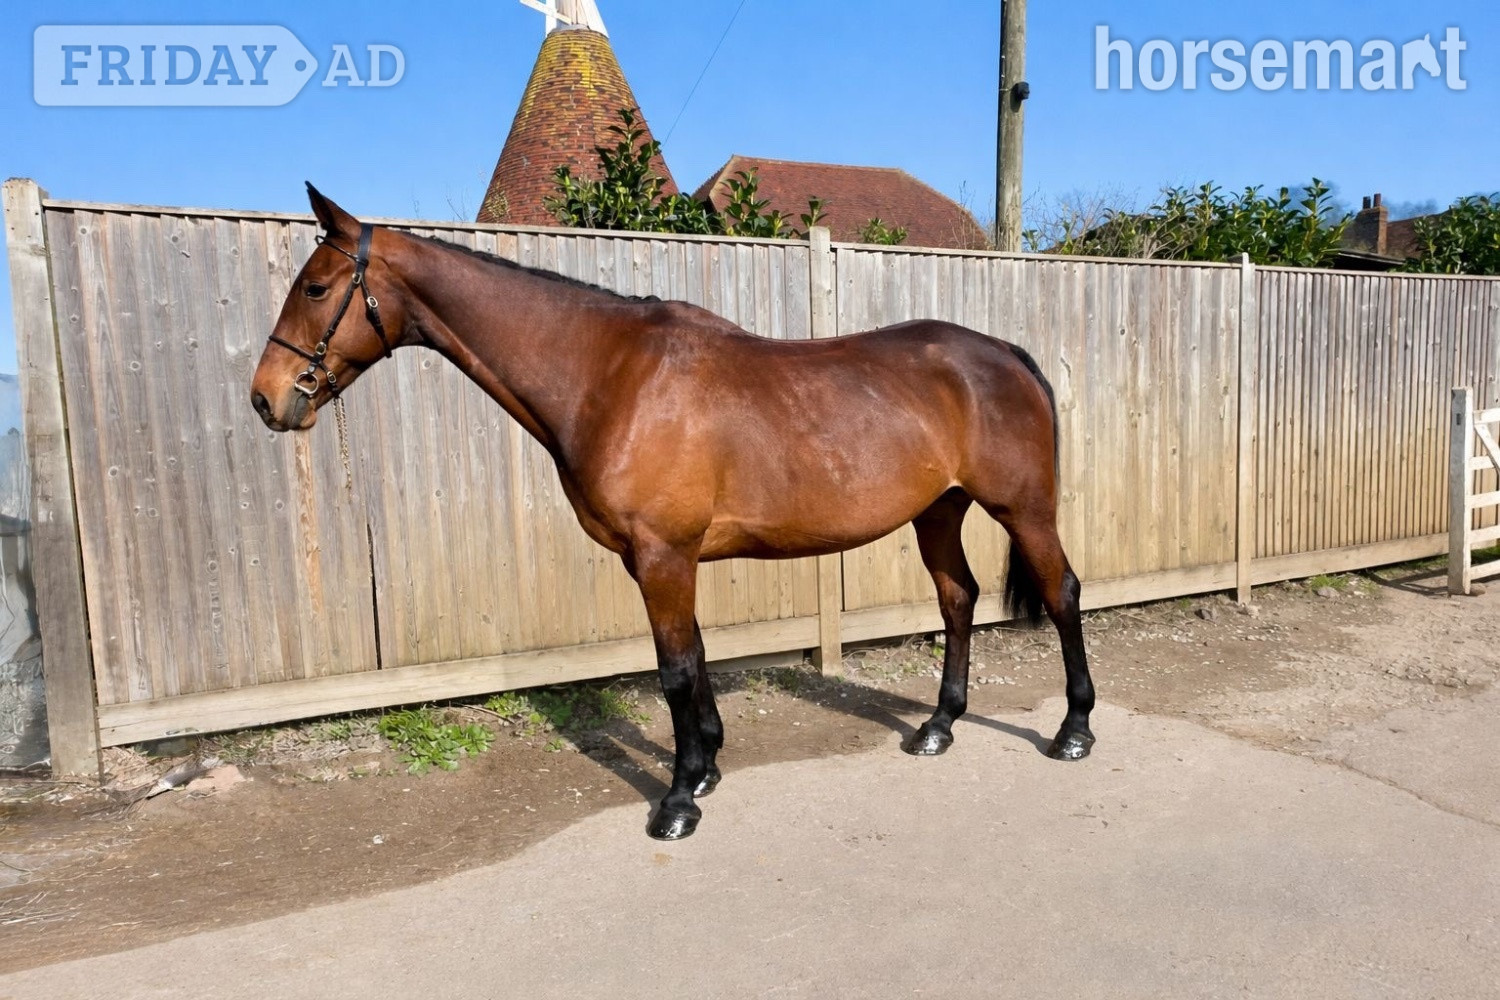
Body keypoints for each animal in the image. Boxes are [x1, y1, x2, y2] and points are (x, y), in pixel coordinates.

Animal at [251, 185, 1096, 840]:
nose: (266, 397)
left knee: (1062, 595)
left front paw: (681, 798)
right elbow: (692, 657)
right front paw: (709, 765)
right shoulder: (658, 558)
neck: (608, 374)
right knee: (958, 599)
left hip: (1023, 510)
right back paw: (938, 727)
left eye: (316, 288)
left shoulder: (663, 554)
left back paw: (1073, 731)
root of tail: (1003, 355)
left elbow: (675, 670)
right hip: (939, 512)